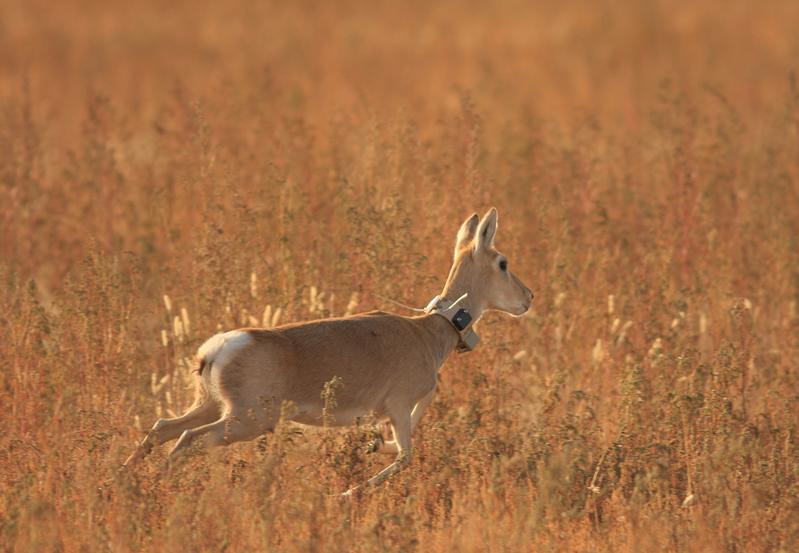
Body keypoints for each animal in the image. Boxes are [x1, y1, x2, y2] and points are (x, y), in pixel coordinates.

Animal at [125, 209, 536, 494]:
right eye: (503, 262)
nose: (529, 297)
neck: (428, 331)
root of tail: (215, 350)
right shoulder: (400, 408)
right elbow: (405, 457)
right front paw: (346, 494)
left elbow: (394, 448)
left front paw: (371, 446)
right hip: (246, 421)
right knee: (187, 440)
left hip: (211, 406)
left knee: (162, 428)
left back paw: (122, 482)